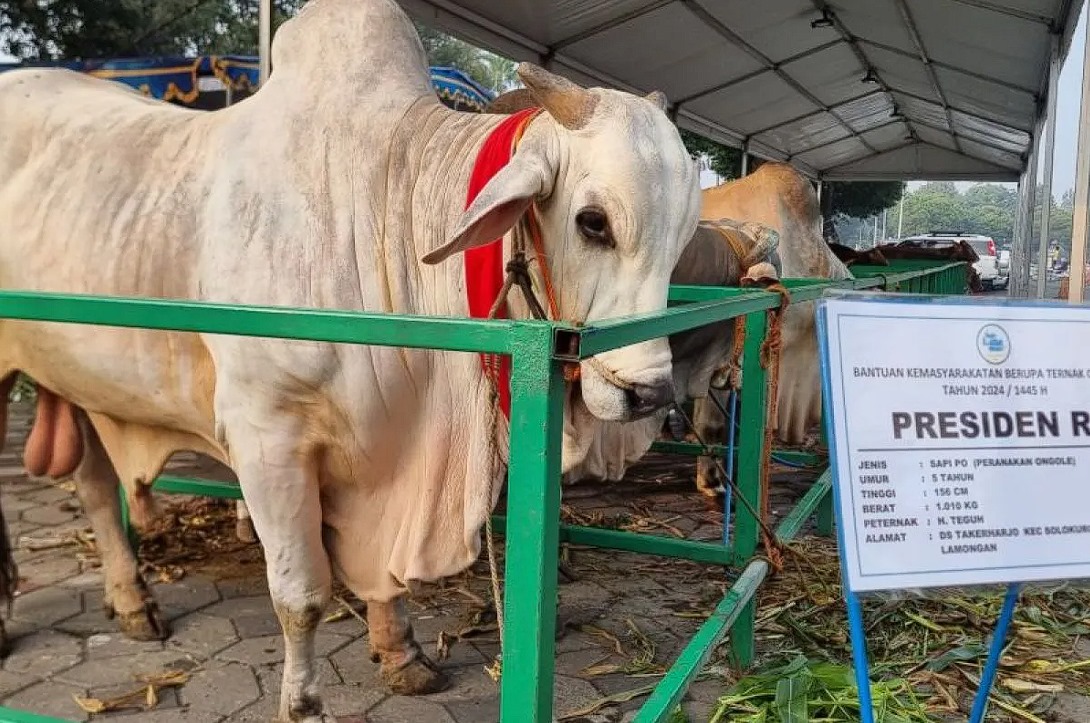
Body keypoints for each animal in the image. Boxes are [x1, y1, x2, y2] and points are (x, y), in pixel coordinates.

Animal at [0, 0, 701, 719]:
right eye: (593, 221)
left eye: (682, 233)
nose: (649, 394)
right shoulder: (266, 438)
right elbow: (302, 596)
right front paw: (304, 703)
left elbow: (386, 578)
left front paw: (402, 654)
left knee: (91, 485)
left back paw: (133, 601)